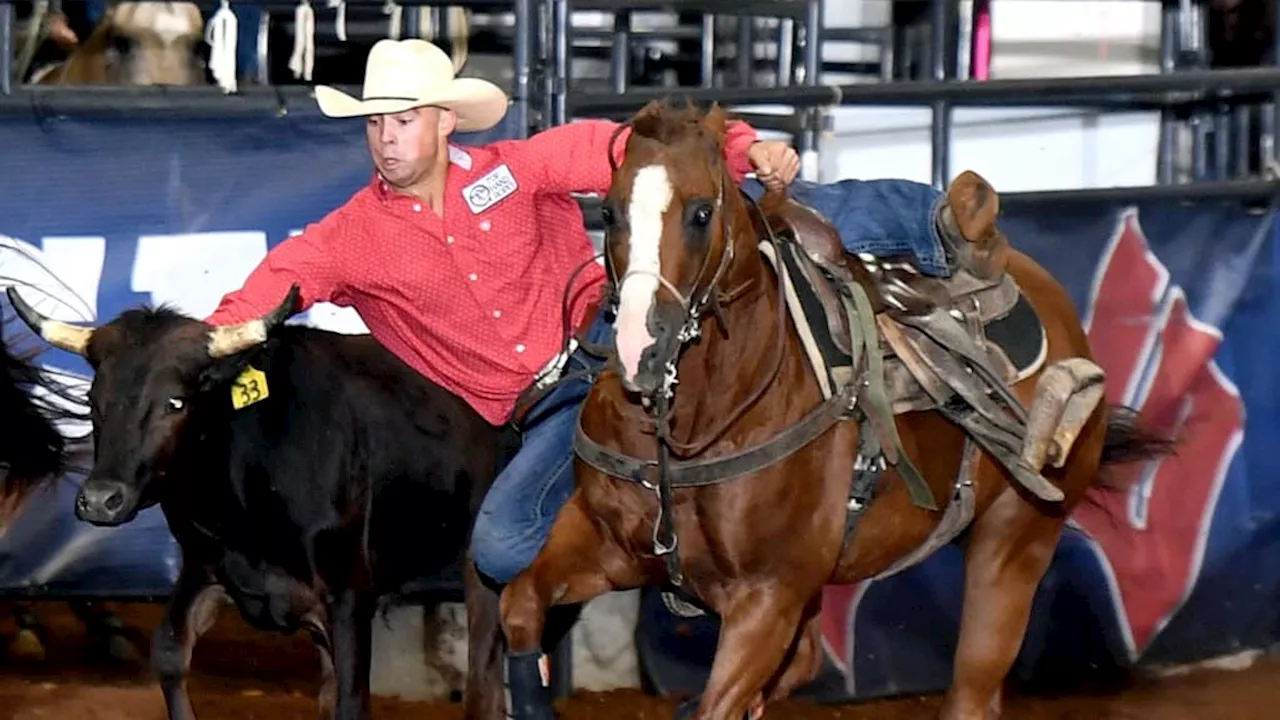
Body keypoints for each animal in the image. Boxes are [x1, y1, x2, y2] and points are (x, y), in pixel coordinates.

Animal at [494, 101, 1172, 717]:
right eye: (608, 212)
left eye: (701, 212)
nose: (640, 344)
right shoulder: (607, 543)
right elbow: (520, 601)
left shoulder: (768, 597)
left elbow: (718, 702)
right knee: (807, 663)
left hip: (1014, 545)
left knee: (971, 690)